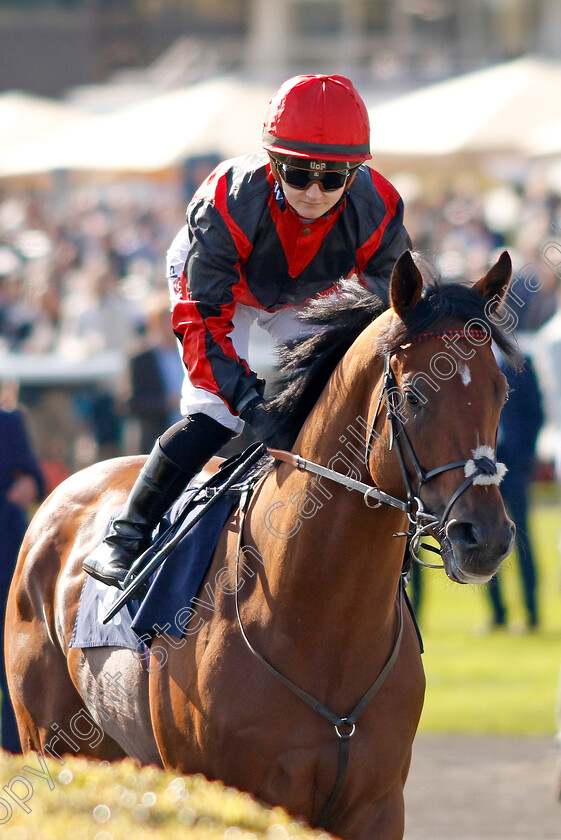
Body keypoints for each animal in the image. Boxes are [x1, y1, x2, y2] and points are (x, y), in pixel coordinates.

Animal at [6, 253, 520, 840]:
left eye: (501, 392)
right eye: (414, 395)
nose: (486, 537)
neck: (319, 625)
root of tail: (66, 485)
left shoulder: (378, 805)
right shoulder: (230, 793)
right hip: (54, 745)